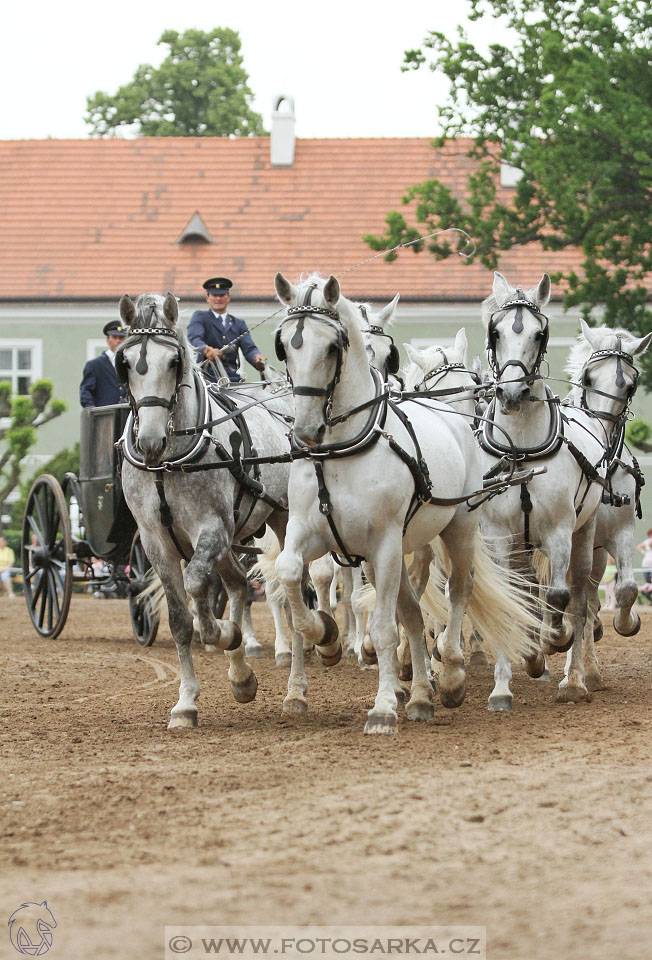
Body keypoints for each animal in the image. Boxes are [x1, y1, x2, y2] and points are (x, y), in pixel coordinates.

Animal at [272, 272, 536, 736]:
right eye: (285, 345)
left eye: (332, 346)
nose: (305, 431)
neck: (338, 452)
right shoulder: (310, 534)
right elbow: (292, 574)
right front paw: (325, 635)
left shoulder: (385, 544)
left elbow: (384, 628)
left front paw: (382, 707)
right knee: (411, 611)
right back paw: (419, 696)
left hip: (457, 528)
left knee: (458, 589)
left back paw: (449, 675)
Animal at [478, 274, 608, 708]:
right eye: (496, 331)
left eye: (539, 333)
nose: (512, 394)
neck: (520, 448)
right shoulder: (499, 536)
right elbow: (509, 597)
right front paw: (503, 687)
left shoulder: (558, 531)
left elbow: (558, 597)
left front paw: (555, 639)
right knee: (529, 590)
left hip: (584, 534)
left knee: (579, 595)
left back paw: (575, 677)